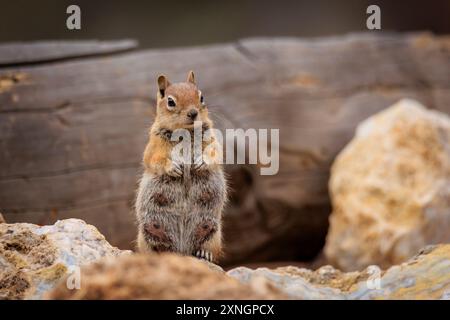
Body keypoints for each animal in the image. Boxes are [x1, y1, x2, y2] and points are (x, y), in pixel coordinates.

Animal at [133, 71, 225, 264]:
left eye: (201, 97)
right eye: (170, 101)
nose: (193, 113)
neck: (186, 132)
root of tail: (181, 251)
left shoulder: (213, 140)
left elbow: (216, 153)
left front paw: (201, 162)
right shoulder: (154, 145)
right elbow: (153, 159)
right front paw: (172, 167)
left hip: (214, 231)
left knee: (208, 248)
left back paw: (204, 254)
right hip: (146, 232)